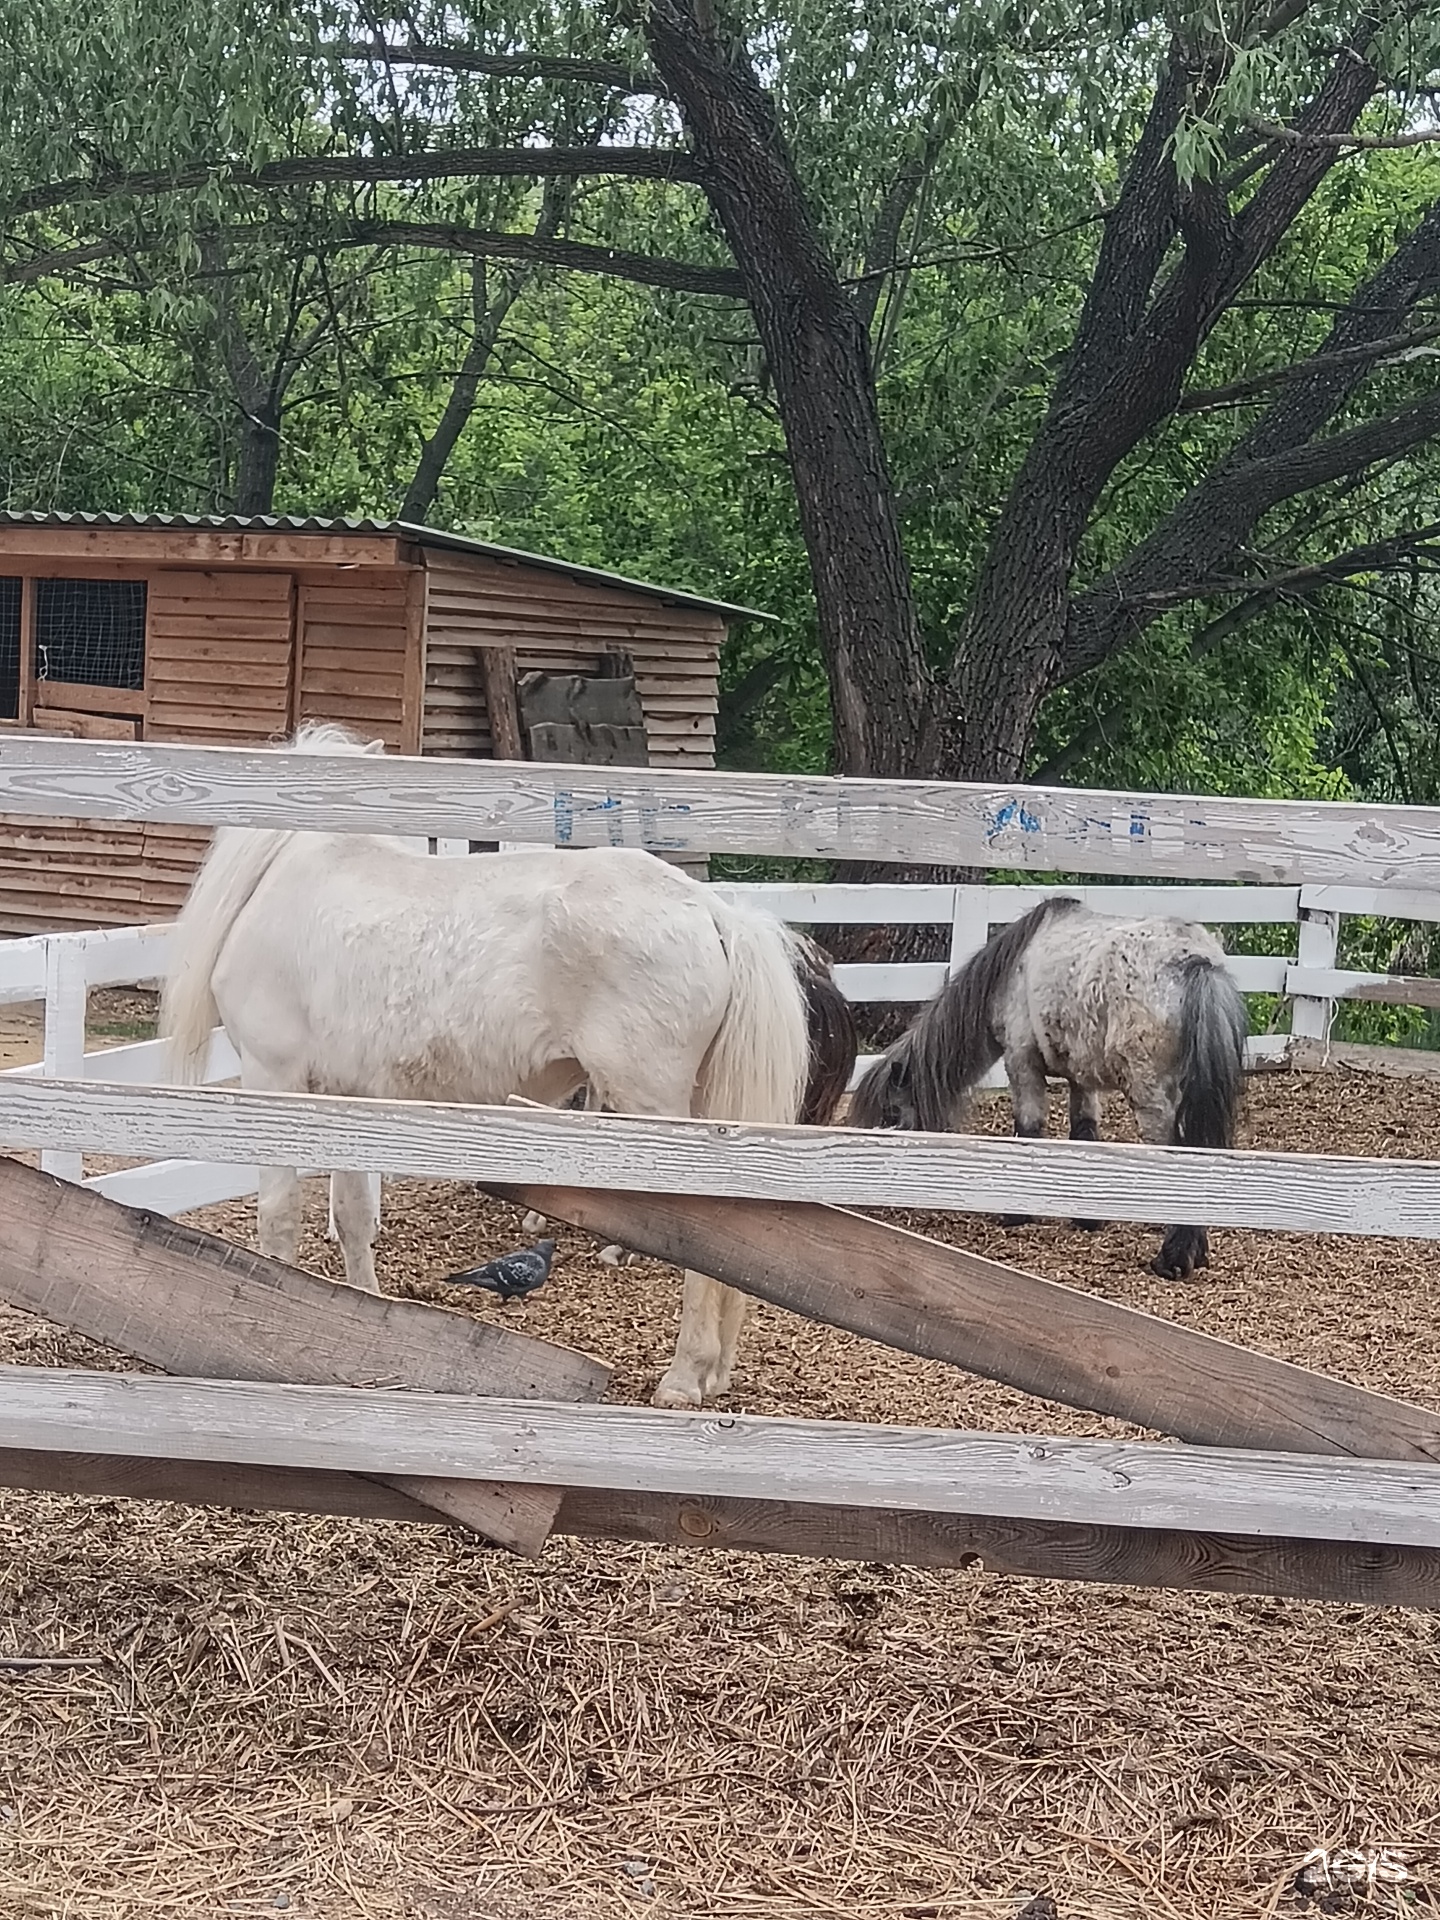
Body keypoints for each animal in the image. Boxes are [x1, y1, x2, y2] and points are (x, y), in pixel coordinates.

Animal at [163, 721, 814, 1413]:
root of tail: (711, 912)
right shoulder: (348, 1099)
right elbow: (353, 1220)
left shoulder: (274, 1081)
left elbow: (279, 1220)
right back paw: (714, 1372)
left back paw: (684, 1377)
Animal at [852, 894, 1244, 1282]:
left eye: (891, 1114)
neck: (1011, 968)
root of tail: (1195, 961)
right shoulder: (1082, 1080)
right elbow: (1084, 1136)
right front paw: (1086, 1218)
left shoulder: (1021, 1062)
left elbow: (1028, 1131)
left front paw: (1016, 1214)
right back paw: (1195, 1251)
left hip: (1149, 1094)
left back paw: (1171, 1259)